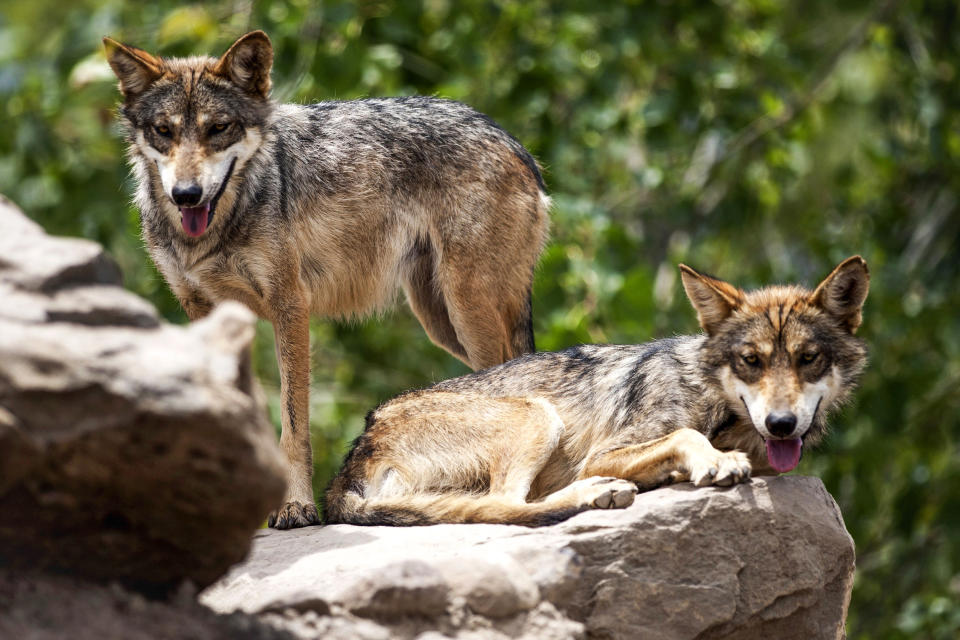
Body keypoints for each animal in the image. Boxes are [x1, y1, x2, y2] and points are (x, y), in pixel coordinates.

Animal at [104, 31, 548, 528]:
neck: (216, 230)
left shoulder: (290, 305)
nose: (187, 194)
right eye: (164, 131)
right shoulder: (206, 313)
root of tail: (512, 141)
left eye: (219, 128)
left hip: (467, 309)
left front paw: (295, 505)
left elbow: (294, 424)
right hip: (441, 321)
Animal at [324, 255, 872, 524]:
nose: (781, 424)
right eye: (751, 361)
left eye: (808, 359)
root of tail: (347, 468)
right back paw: (599, 493)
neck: (716, 402)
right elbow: (686, 436)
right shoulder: (604, 452)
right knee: (507, 504)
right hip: (536, 415)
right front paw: (712, 461)